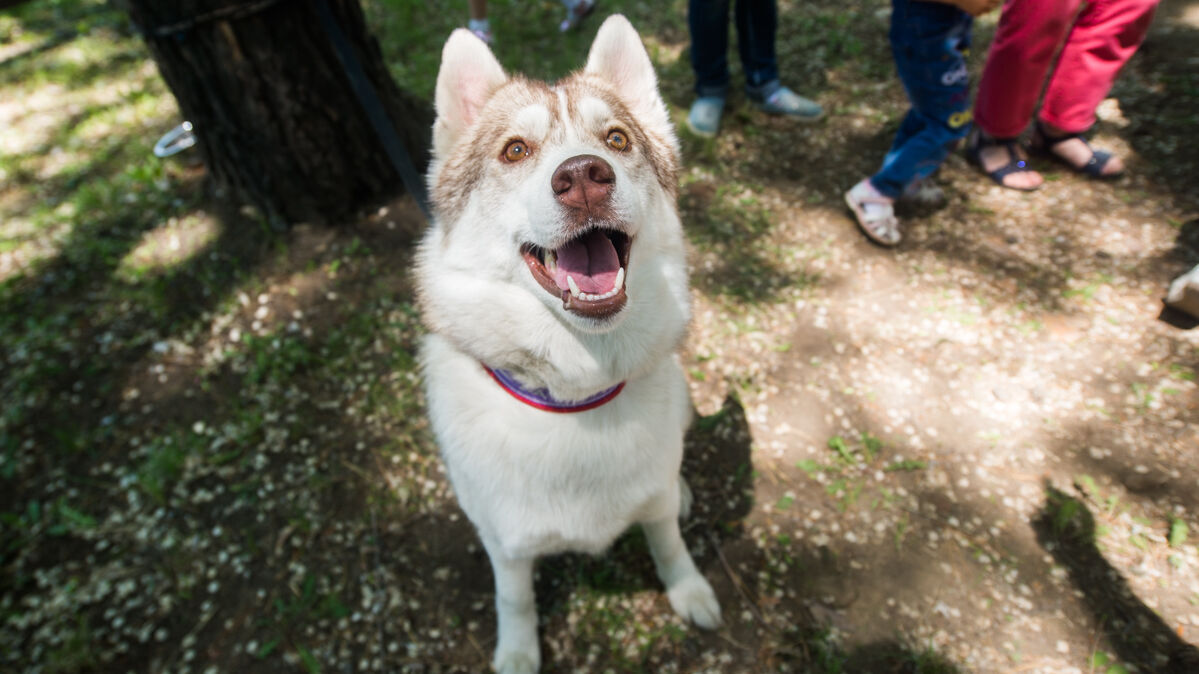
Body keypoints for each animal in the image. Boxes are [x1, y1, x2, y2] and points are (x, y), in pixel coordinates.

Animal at [419, 15, 719, 671]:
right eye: (515, 150)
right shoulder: (504, 545)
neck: (576, 393)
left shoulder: (654, 505)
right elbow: (515, 599)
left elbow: (668, 541)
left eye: (617, 139)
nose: (583, 176)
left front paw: (688, 589)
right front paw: (518, 652)